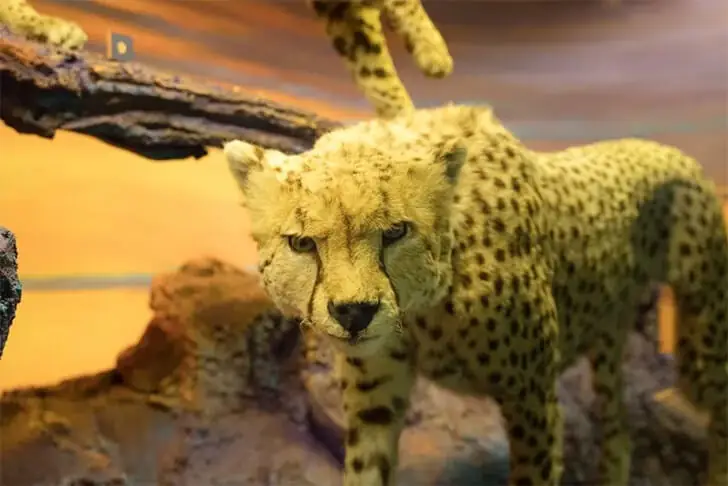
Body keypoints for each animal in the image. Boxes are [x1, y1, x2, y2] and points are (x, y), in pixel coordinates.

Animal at [223, 103, 728, 486]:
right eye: (302, 243)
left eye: (395, 232)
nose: (354, 313)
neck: (425, 307)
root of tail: (669, 150)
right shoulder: (374, 398)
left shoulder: (533, 398)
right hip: (608, 336)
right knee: (619, 429)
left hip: (699, 351)